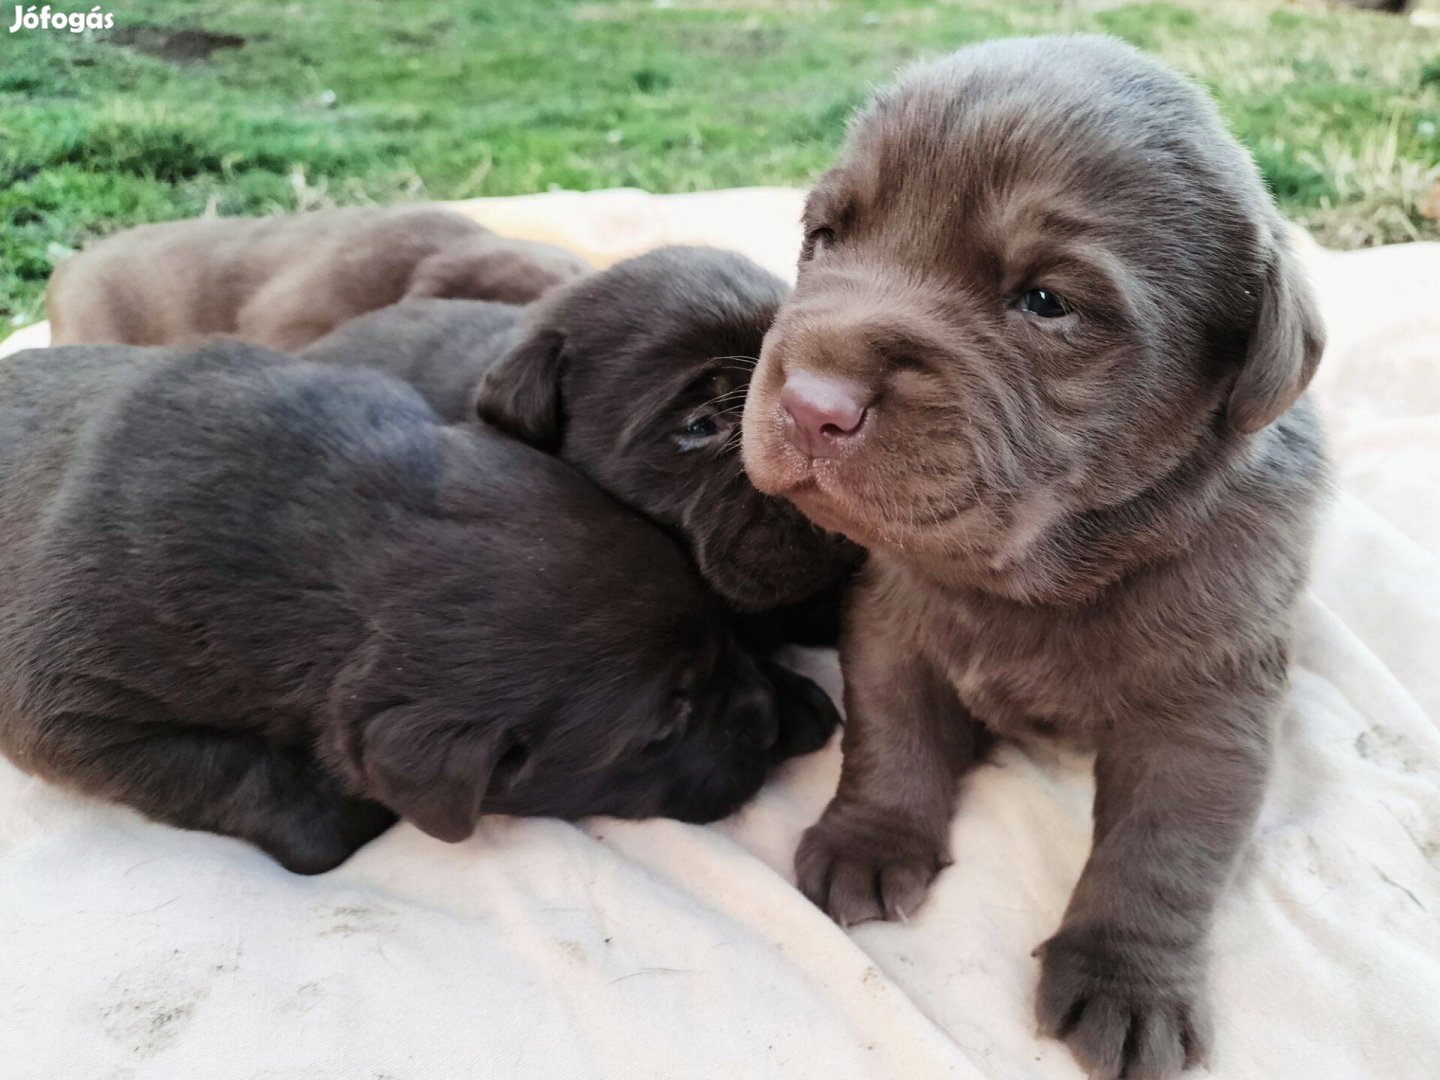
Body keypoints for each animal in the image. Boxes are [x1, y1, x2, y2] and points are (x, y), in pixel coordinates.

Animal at [743, 36, 1324, 1080]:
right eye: (825, 238)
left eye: (1047, 302)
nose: (813, 403)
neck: (1040, 578)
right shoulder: (889, 623)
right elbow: (891, 737)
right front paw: (869, 838)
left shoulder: (1207, 708)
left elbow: (1160, 848)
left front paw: (1126, 981)